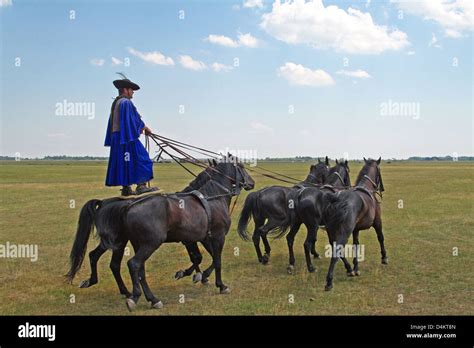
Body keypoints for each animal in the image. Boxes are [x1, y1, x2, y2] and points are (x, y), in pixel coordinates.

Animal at [71, 156, 254, 312]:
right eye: (242, 166)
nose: (251, 182)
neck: (212, 198)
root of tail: (128, 206)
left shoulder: (200, 238)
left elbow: (201, 258)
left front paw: (197, 275)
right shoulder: (216, 237)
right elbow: (216, 260)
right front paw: (220, 285)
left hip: (130, 243)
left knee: (125, 266)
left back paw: (145, 297)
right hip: (148, 243)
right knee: (133, 264)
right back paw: (136, 297)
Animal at [324, 158, 386, 290]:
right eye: (379, 170)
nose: (382, 188)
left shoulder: (355, 229)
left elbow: (356, 244)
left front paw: (356, 267)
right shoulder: (377, 222)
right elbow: (380, 237)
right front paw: (384, 257)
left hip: (331, 231)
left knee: (334, 246)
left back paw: (348, 270)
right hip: (344, 231)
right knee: (337, 250)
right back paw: (329, 281)